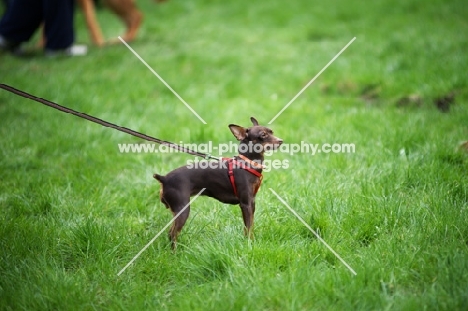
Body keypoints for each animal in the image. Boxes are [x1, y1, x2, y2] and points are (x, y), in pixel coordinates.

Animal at [155, 117, 284, 249]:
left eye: (272, 132)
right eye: (263, 135)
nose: (281, 141)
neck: (248, 162)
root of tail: (164, 179)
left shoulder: (252, 202)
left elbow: (249, 226)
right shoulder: (246, 204)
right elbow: (248, 227)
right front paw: (249, 244)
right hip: (182, 209)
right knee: (172, 234)